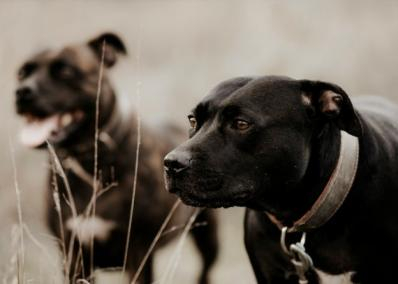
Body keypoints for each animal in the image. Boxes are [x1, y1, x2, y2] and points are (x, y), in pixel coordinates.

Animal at [14, 32, 218, 284]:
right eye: (22, 73)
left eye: (66, 71)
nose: (22, 92)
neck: (90, 163)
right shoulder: (74, 255)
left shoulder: (138, 253)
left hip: (208, 236)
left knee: (206, 268)